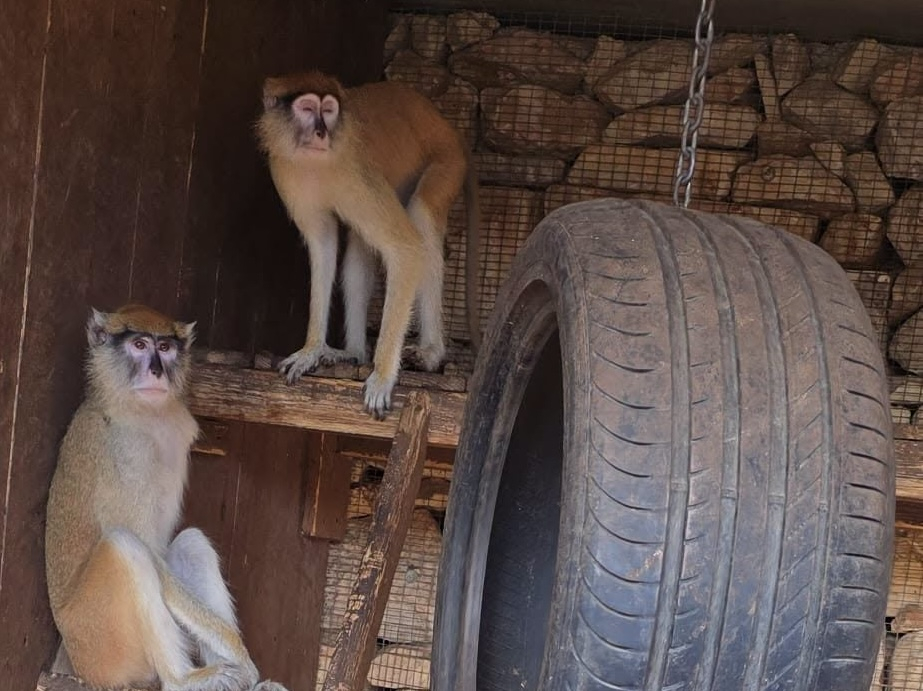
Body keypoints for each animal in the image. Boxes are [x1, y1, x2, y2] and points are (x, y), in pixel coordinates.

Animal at [45, 304, 286, 691]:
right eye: (140, 345)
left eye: (166, 347)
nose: (157, 371)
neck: (139, 410)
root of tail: (74, 660)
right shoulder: (126, 451)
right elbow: (147, 552)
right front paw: (243, 659)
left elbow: (169, 551)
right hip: (100, 643)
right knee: (124, 545)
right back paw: (184, 679)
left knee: (191, 542)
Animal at [256, 70, 480, 419]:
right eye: (307, 109)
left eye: (328, 110)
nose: (321, 133)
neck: (316, 162)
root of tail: (448, 128)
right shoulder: (286, 173)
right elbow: (323, 245)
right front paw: (312, 350)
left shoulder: (355, 174)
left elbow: (406, 248)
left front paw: (383, 376)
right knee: (359, 247)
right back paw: (354, 352)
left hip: (447, 164)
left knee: (422, 217)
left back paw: (431, 352)